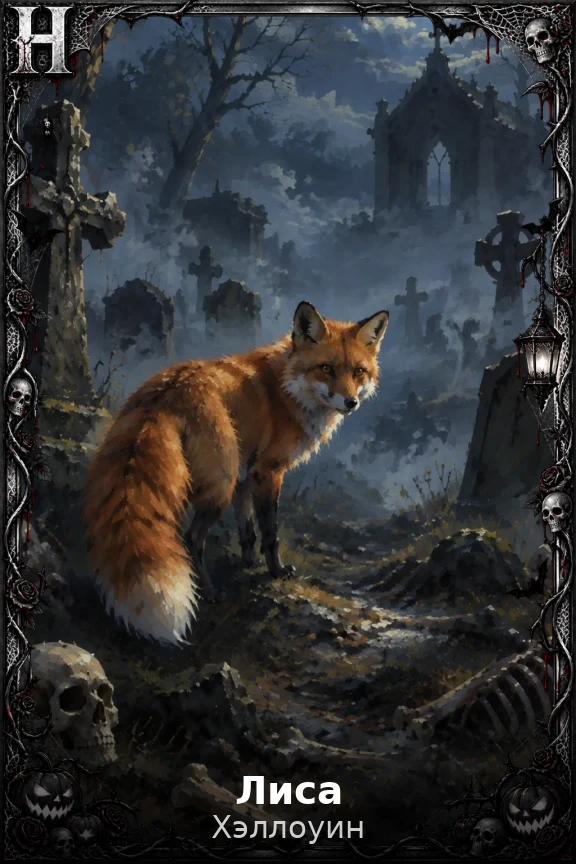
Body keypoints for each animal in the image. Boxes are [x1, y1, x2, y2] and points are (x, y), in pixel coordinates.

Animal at [84, 301, 389, 645]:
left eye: (358, 371)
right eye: (326, 368)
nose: (351, 402)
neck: (287, 389)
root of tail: (169, 388)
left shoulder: (247, 477)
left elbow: (248, 530)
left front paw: (249, 564)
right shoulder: (268, 471)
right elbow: (270, 532)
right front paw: (276, 572)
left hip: (227, 479)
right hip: (221, 483)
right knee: (191, 538)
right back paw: (207, 592)